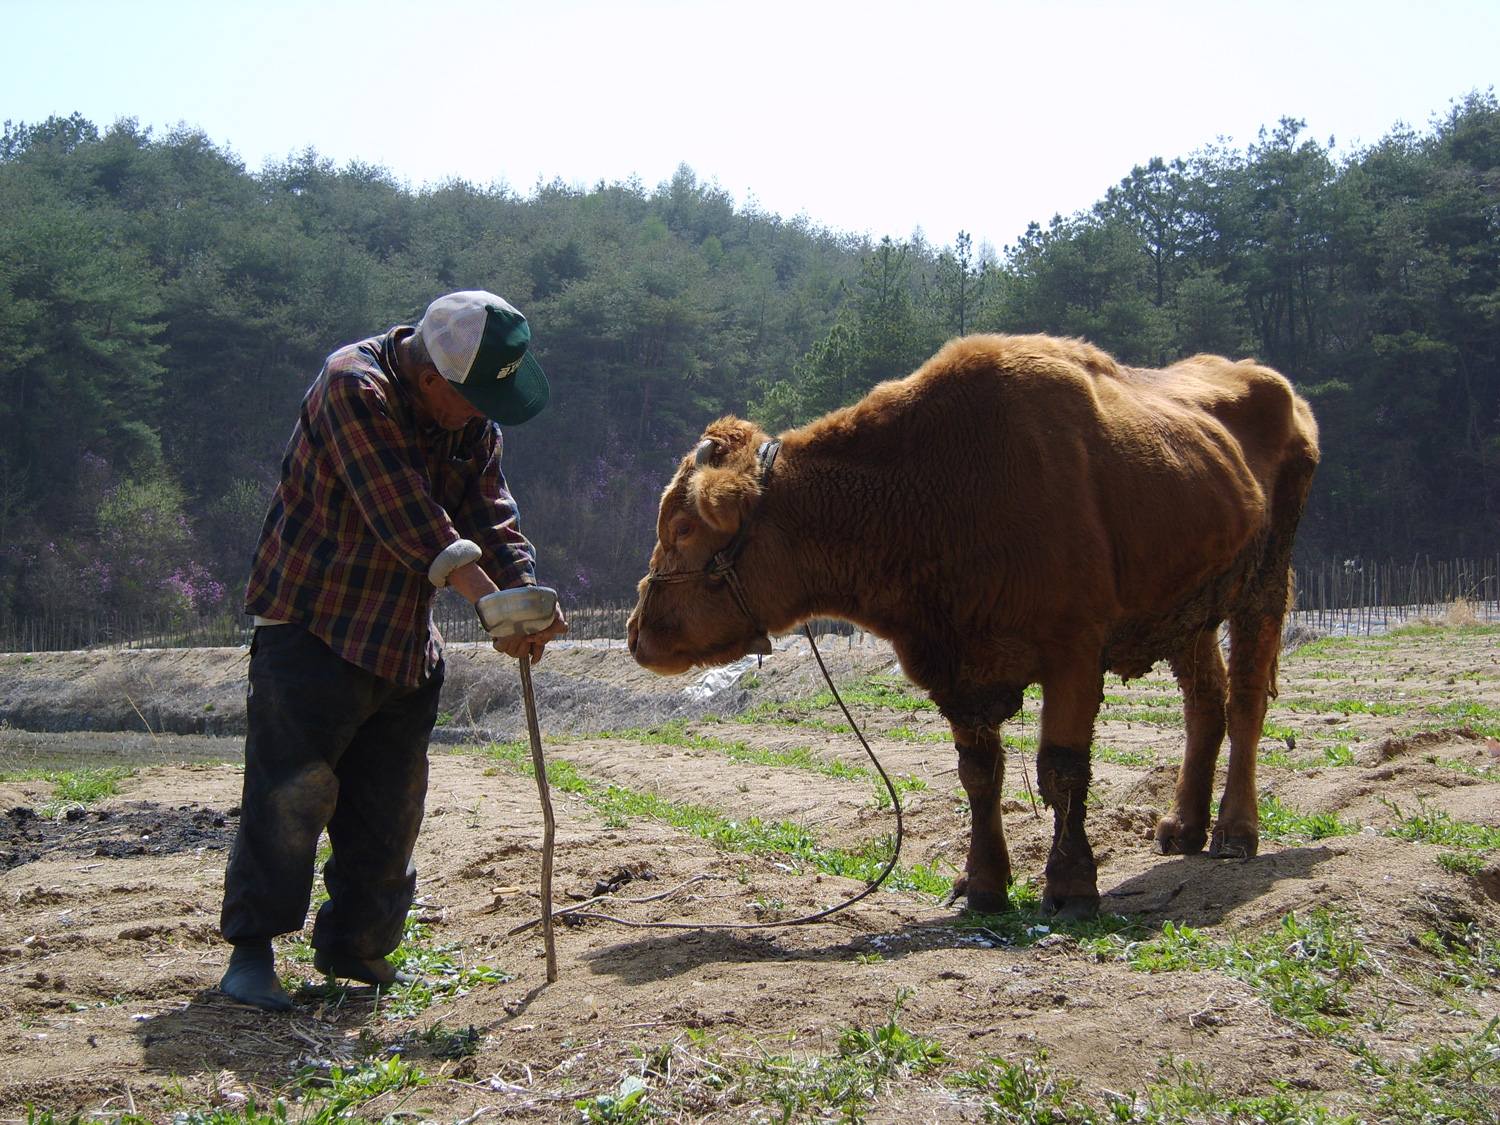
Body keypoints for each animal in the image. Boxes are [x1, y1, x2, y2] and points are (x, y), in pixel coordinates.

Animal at [627, 333, 1320, 918]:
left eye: (682, 526)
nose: (638, 633)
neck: (937, 484)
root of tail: (1286, 392)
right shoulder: (958, 672)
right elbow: (980, 775)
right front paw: (984, 886)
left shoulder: (1073, 651)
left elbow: (1061, 768)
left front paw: (1071, 887)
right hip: (1189, 611)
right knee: (1205, 701)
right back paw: (1182, 828)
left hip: (1262, 588)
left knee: (1246, 700)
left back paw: (1235, 832)